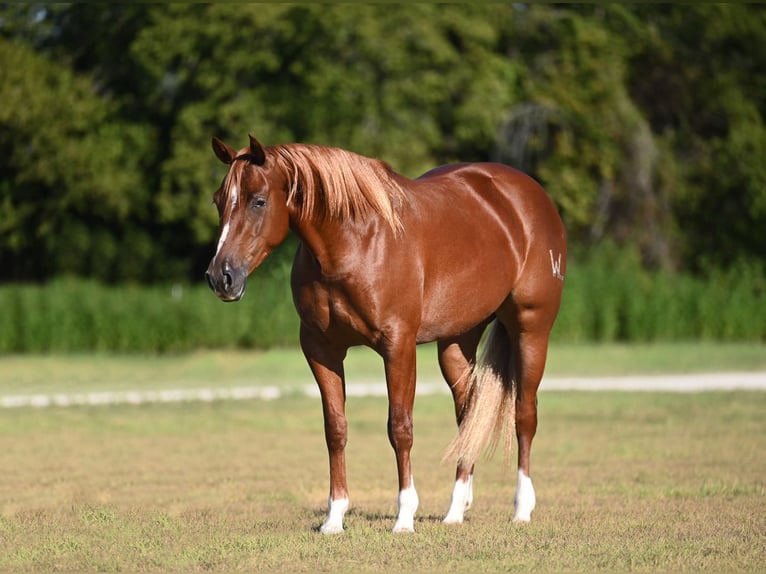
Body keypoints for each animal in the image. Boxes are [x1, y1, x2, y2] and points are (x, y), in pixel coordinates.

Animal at [205, 135, 566, 534]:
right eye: (219, 201)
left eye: (258, 200)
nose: (221, 277)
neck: (354, 242)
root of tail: (528, 195)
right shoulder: (321, 350)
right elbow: (335, 429)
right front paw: (334, 517)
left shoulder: (398, 347)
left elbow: (400, 428)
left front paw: (404, 517)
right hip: (456, 344)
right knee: (467, 416)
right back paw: (455, 511)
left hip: (531, 330)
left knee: (525, 414)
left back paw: (521, 509)